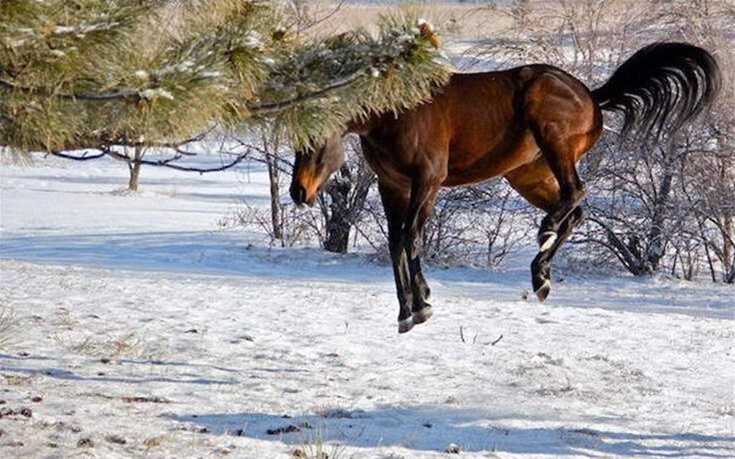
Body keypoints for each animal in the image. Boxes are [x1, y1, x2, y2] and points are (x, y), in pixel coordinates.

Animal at [288, 43, 720, 334]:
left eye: (316, 139)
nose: (299, 193)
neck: (398, 112)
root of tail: (591, 96)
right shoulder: (393, 186)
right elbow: (398, 243)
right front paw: (409, 311)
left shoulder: (427, 182)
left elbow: (410, 239)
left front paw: (420, 305)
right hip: (527, 175)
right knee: (576, 210)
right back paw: (540, 275)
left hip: (552, 141)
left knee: (576, 194)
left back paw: (545, 237)